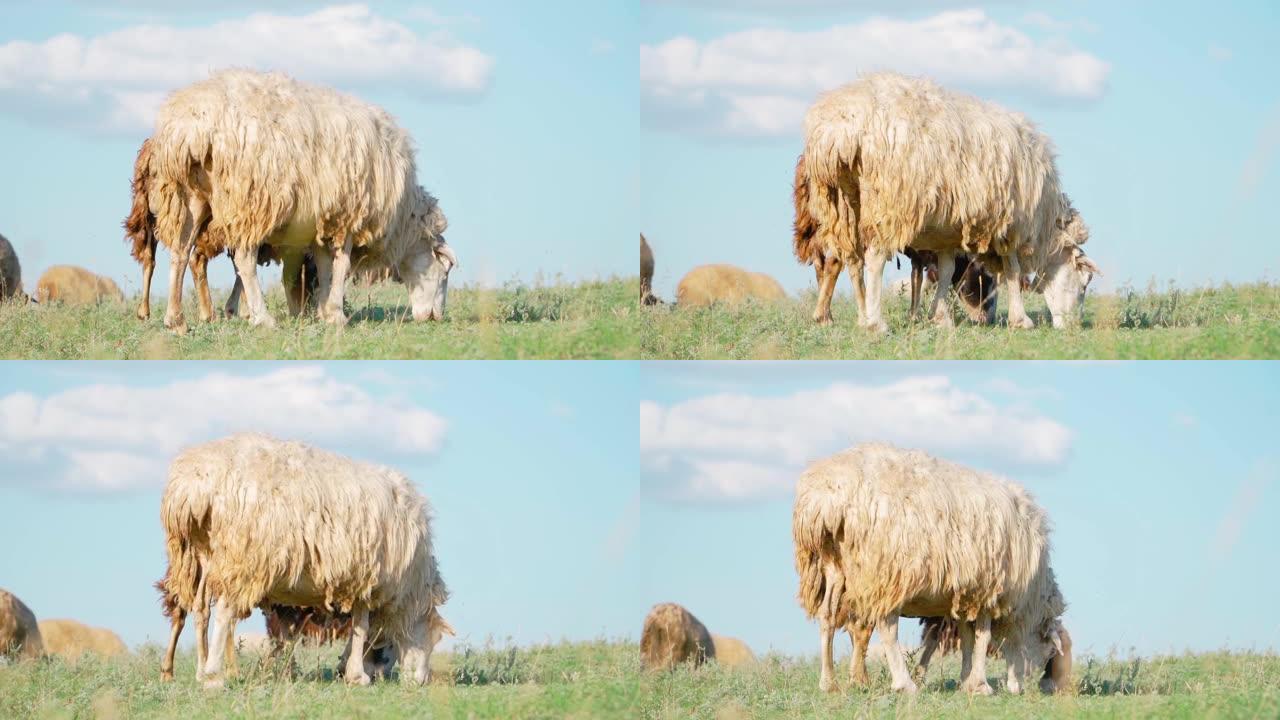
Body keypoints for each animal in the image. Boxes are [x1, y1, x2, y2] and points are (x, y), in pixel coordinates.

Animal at [160, 427, 453, 686]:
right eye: (433, 640)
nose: (421, 681)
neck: (411, 590)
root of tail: (195, 485)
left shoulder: (360, 579)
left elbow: (359, 628)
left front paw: (349, 668)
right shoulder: (367, 578)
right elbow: (361, 627)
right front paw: (357, 675)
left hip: (201, 556)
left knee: (201, 610)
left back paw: (200, 671)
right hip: (244, 557)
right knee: (224, 613)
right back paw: (214, 676)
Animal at [788, 440, 1070, 691]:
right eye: (1050, 650)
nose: (1025, 686)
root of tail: (826, 498)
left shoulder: (967, 594)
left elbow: (968, 638)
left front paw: (967, 681)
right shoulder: (988, 590)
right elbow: (982, 637)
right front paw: (980, 684)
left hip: (835, 566)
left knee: (828, 617)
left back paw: (830, 683)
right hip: (886, 570)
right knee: (886, 626)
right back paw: (904, 684)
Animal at [803, 73, 1095, 330]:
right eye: (1084, 283)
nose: (1074, 327)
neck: (1045, 225)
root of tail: (840, 129)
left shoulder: (946, 230)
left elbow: (946, 270)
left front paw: (940, 317)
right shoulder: (1010, 224)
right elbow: (1011, 270)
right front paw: (1021, 320)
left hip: (842, 204)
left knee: (852, 261)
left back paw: (863, 318)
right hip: (887, 202)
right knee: (874, 259)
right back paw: (876, 323)